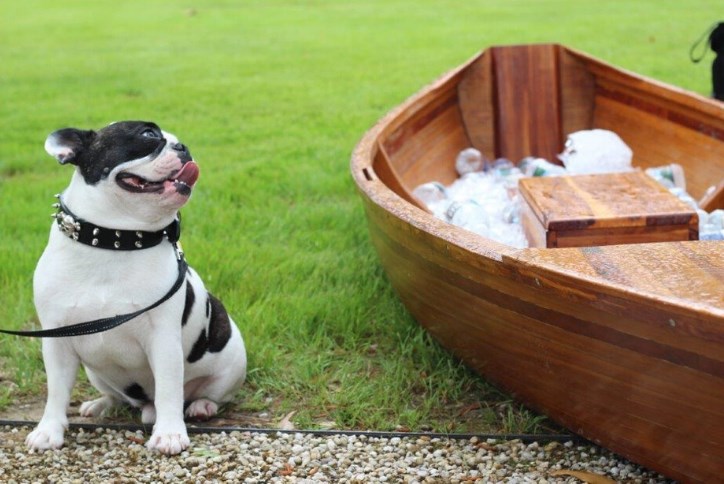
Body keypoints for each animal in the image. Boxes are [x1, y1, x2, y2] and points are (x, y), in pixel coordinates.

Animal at [26, 120, 247, 454]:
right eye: (148, 135)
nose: (183, 147)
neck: (116, 239)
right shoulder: (56, 340)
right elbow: (56, 390)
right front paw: (48, 430)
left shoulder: (163, 339)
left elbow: (169, 388)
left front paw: (169, 434)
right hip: (96, 372)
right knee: (117, 395)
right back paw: (101, 404)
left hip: (231, 361)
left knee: (207, 393)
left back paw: (202, 406)